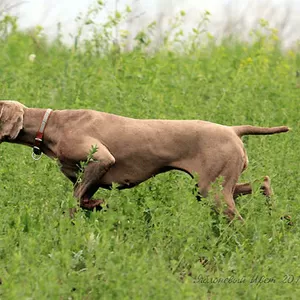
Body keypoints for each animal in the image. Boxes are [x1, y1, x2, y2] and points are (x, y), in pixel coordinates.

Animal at [0, 101, 290, 220]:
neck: (53, 124)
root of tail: (232, 129)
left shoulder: (101, 159)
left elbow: (74, 202)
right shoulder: (85, 176)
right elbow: (82, 199)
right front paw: (97, 205)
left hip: (214, 192)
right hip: (214, 185)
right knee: (263, 182)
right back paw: (281, 216)